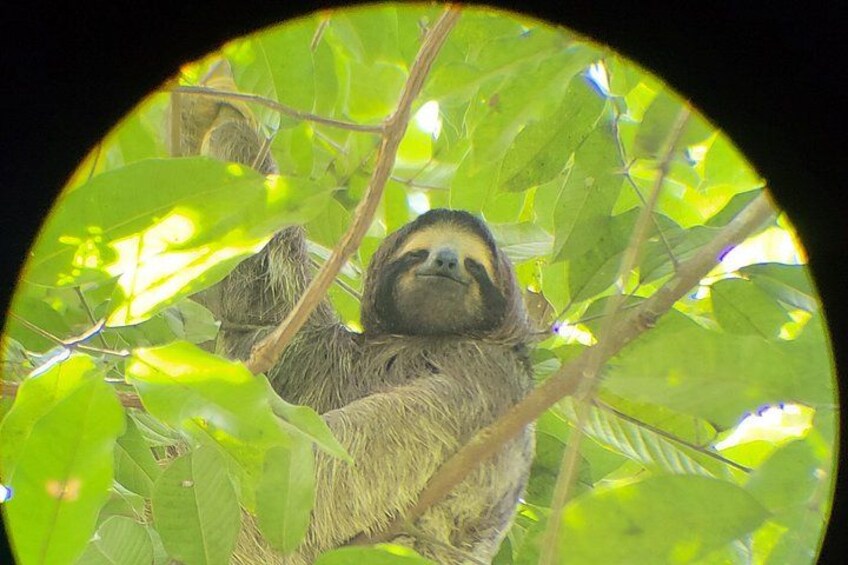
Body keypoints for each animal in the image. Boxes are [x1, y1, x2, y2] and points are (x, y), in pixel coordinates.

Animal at [180, 65, 535, 564]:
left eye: (473, 264)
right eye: (418, 252)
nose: (445, 261)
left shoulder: (468, 368)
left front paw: (231, 113)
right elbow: (259, 314)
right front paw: (214, 96)